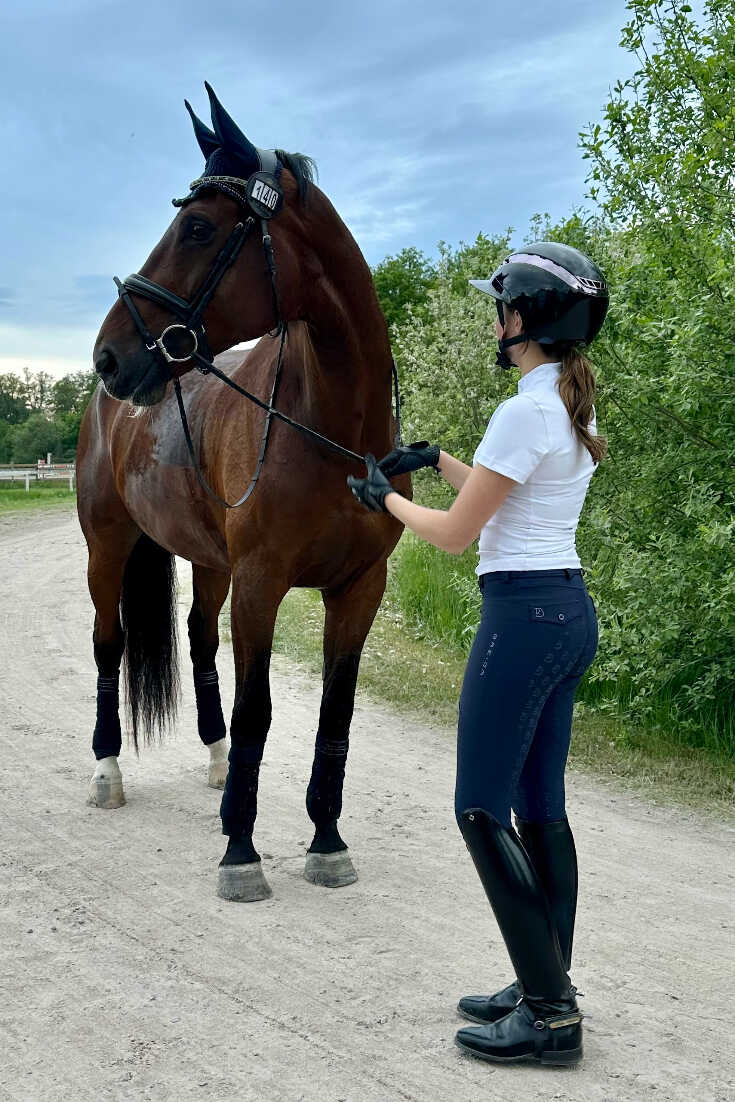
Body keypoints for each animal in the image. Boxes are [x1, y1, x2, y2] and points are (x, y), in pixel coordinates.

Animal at [78, 81, 412, 899]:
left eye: (198, 227)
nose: (109, 355)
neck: (331, 430)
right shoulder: (262, 582)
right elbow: (258, 711)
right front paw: (241, 850)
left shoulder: (359, 587)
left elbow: (335, 716)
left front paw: (326, 840)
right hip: (107, 544)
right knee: (108, 643)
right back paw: (108, 771)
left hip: (208, 562)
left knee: (198, 637)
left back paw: (216, 760)